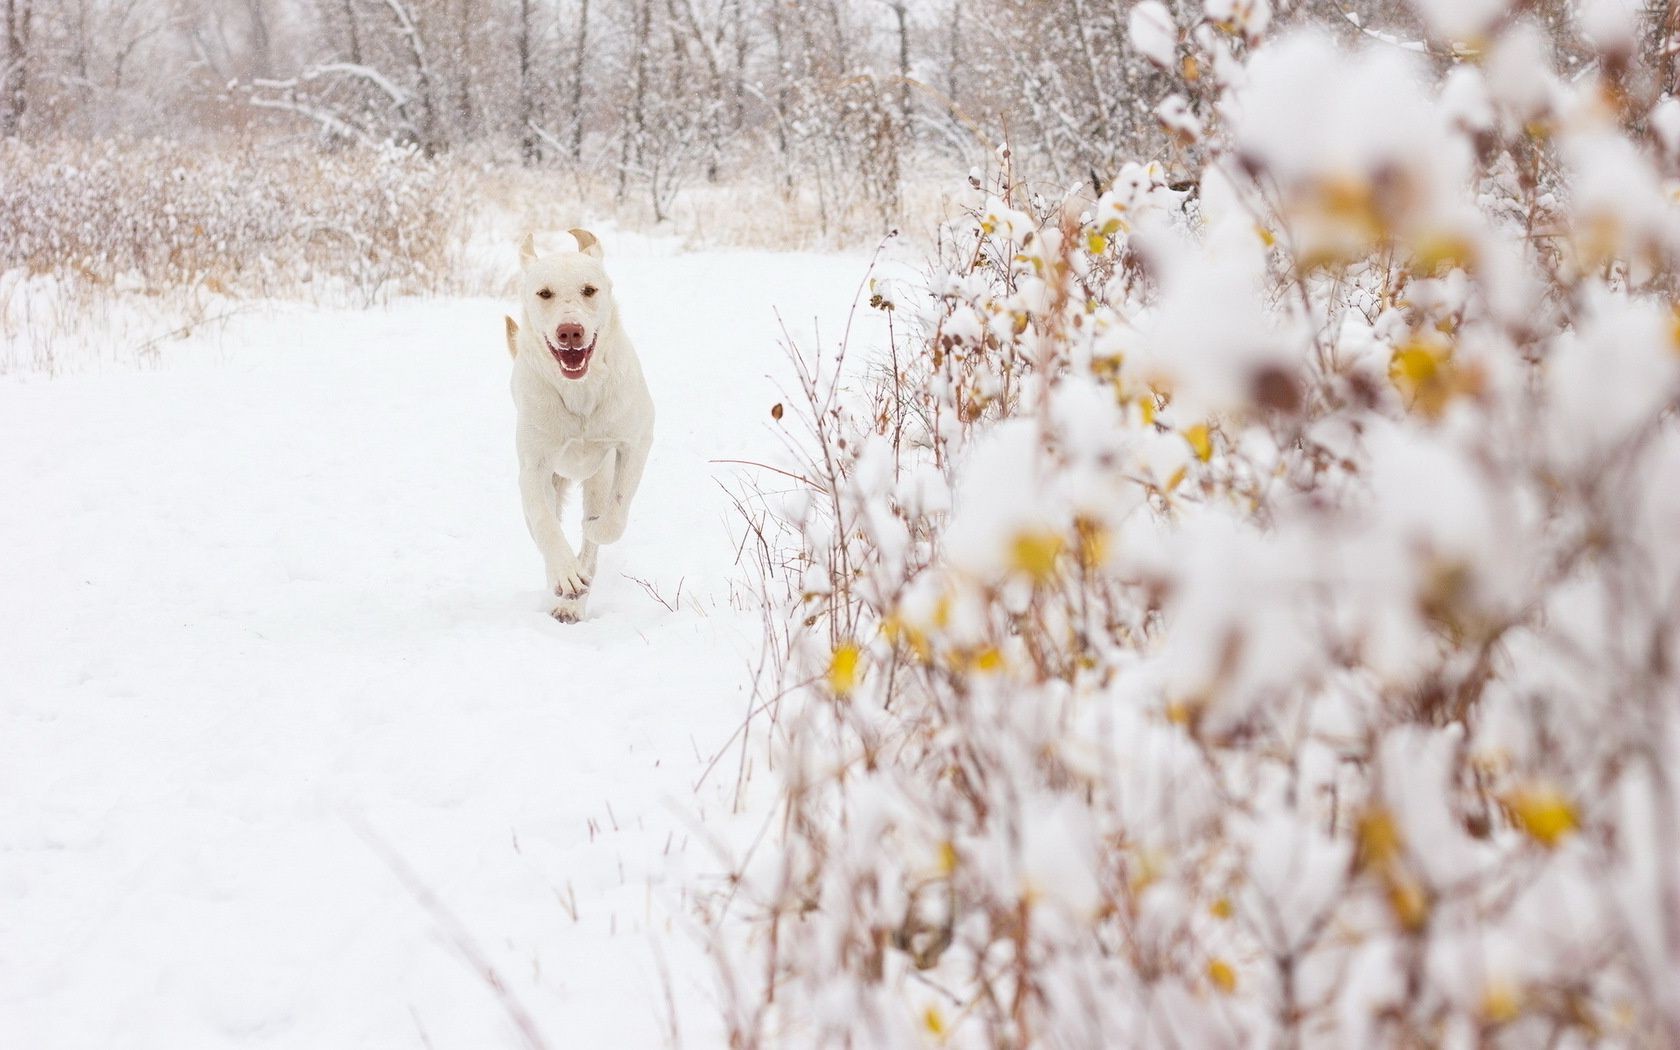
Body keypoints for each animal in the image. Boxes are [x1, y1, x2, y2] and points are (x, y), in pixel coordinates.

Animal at [500, 228, 651, 621]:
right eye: (544, 293)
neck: (579, 391)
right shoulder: (533, 469)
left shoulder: (635, 443)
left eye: (589, 289)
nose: (570, 331)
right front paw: (566, 575)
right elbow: (546, 524)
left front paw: (595, 532)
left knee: (592, 541)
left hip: (598, 478)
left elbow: (615, 515)